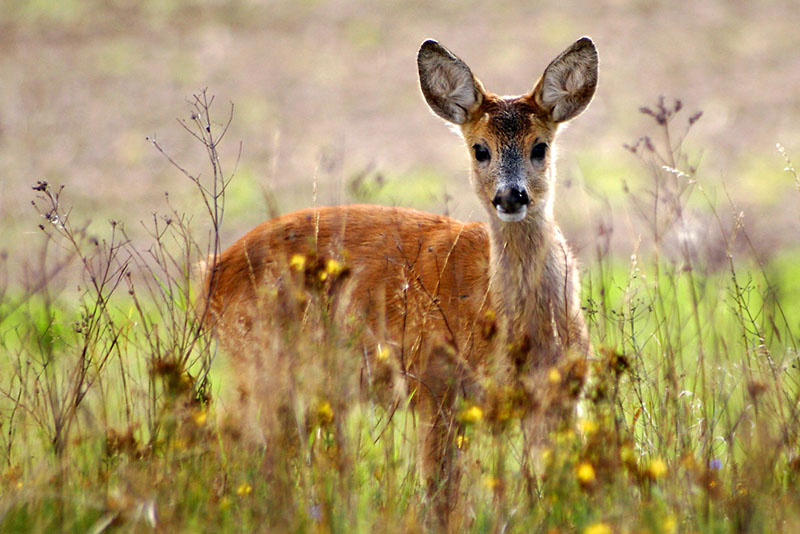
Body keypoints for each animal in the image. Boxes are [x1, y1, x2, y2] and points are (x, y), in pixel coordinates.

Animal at [203, 36, 596, 528]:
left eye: (540, 146)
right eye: (480, 149)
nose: (510, 196)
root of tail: (210, 273)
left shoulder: (563, 395)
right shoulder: (435, 384)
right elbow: (441, 497)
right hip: (262, 361)